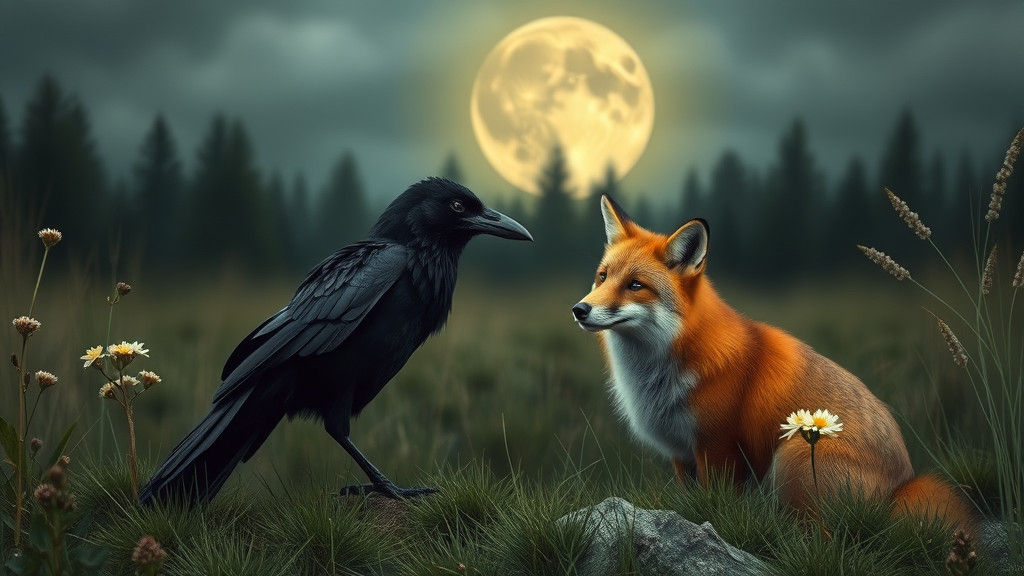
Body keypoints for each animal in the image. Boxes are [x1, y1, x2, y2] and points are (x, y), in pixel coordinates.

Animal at [572, 194, 975, 531]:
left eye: (635, 285)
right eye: (602, 277)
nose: (580, 309)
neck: (660, 372)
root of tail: (902, 486)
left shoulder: (718, 446)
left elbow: (714, 505)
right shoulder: (680, 454)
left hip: (793, 454)